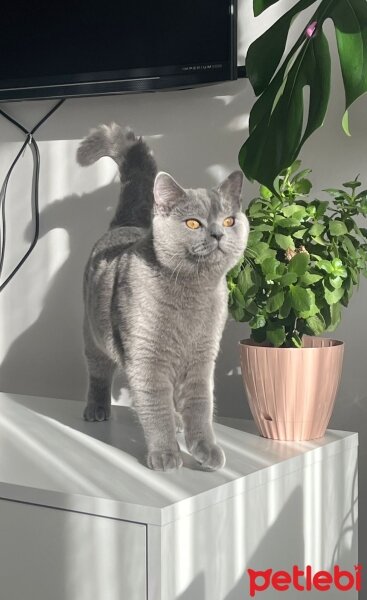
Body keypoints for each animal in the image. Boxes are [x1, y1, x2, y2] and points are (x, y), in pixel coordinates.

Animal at [77, 124, 250, 472]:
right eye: (193, 223)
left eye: (229, 221)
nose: (218, 234)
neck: (193, 293)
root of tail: (126, 223)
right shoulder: (148, 358)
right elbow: (155, 408)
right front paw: (166, 455)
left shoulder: (202, 358)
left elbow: (200, 405)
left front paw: (206, 450)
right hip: (93, 336)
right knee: (99, 372)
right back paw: (97, 410)